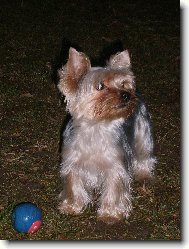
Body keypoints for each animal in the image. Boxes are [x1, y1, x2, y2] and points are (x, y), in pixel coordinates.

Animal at [57, 47, 157, 223]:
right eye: (100, 86)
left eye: (122, 84)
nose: (126, 94)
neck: (96, 127)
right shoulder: (72, 163)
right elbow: (73, 184)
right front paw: (72, 207)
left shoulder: (115, 166)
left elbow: (113, 188)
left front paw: (110, 214)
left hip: (143, 132)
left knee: (144, 153)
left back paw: (144, 175)